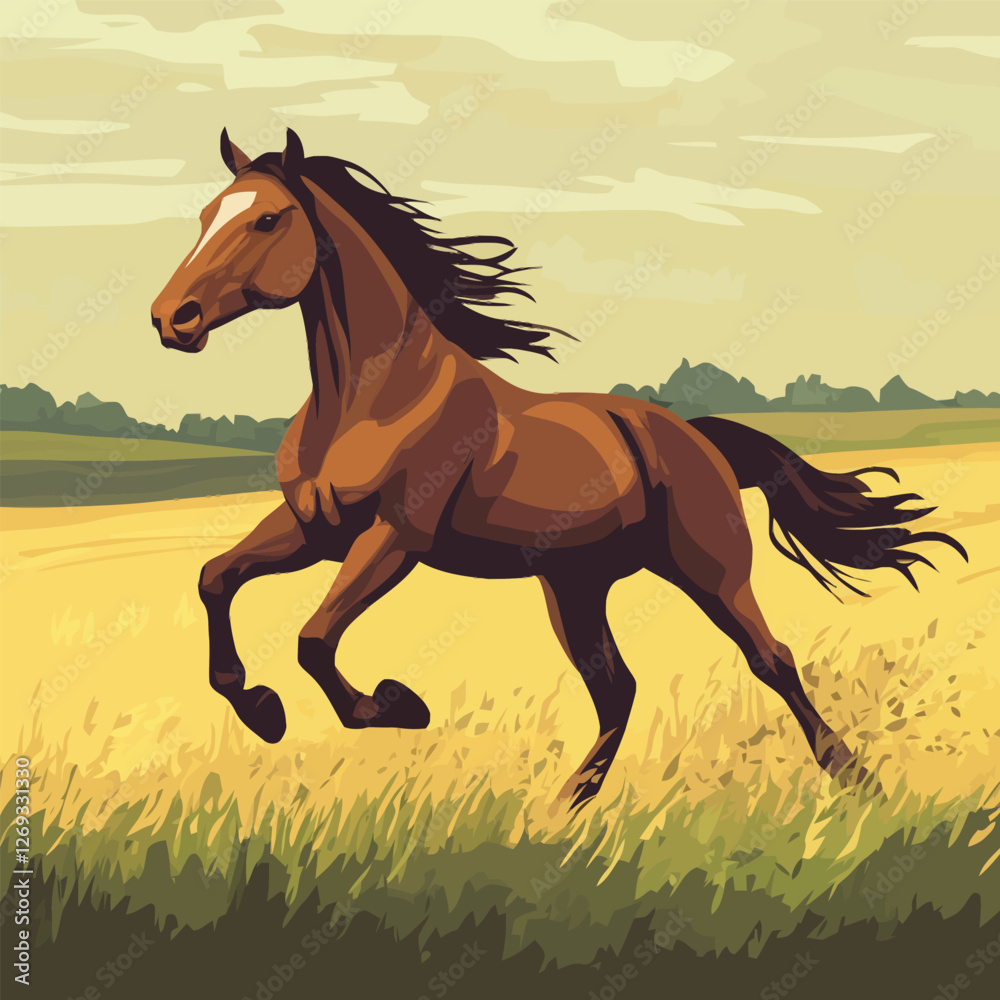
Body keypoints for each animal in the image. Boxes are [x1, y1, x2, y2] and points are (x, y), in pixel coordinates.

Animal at [150, 129, 967, 808]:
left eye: (266, 220)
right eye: (205, 216)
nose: (171, 319)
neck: (371, 396)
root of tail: (693, 434)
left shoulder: (394, 537)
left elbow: (314, 639)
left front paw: (395, 705)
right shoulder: (312, 528)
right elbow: (215, 579)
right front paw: (262, 710)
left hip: (709, 570)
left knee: (772, 659)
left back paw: (854, 779)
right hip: (574, 586)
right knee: (618, 690)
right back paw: (562, 809)